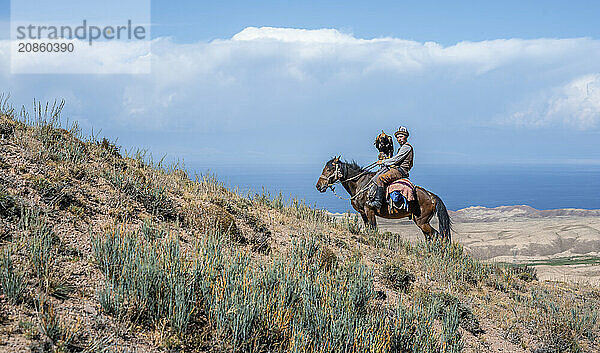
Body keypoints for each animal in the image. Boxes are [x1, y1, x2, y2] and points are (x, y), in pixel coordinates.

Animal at [318, 156, 450, 241]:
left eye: (329, 169)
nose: (318, 186)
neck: (361, 184)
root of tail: (431, 196)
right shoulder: (363, 213)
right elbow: (368, 229)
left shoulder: (369, 211)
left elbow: (373, 229)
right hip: (420, 222)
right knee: (430, 237)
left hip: (422, 222)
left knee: (438, 236)